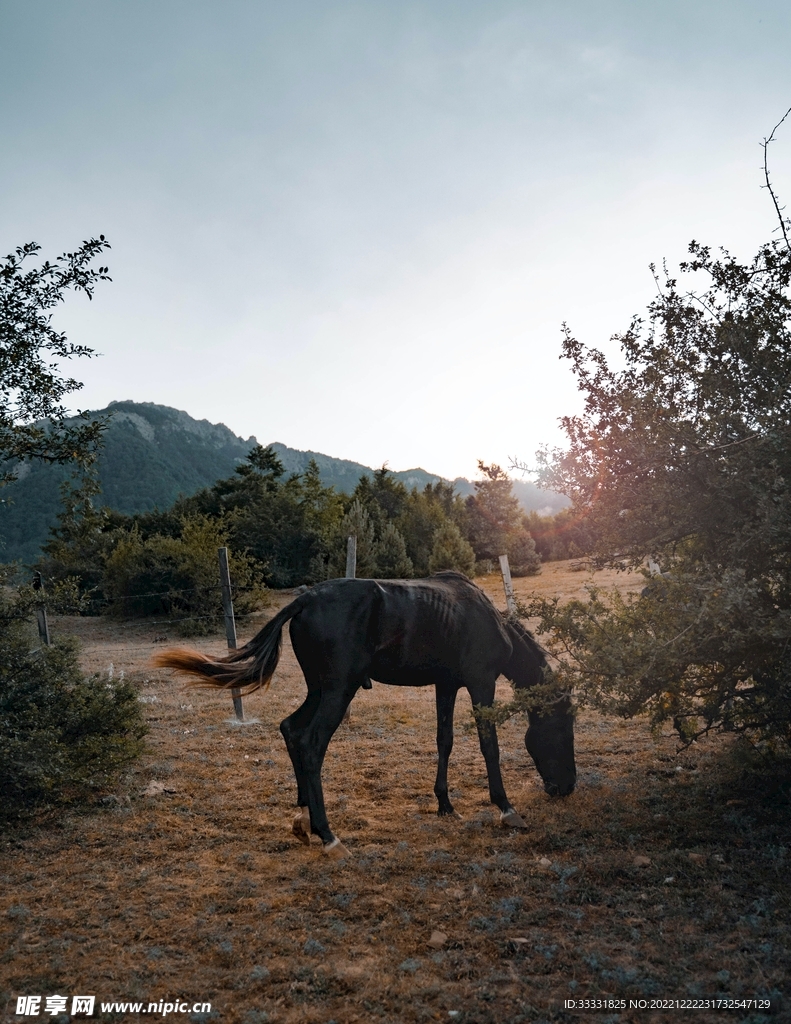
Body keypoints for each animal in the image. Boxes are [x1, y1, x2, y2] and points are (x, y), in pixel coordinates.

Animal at [154, 571, 576, 857]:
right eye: (564, 727)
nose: (567, 787)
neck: (485, 618)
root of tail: (304, 601)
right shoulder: (480, 683)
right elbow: (490, 746)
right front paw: (506, 808)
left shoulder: (446, 685)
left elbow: (445, 741)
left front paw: (445, 804)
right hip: (339, 690)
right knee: (310, 742)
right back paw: (329, 836)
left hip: (320, 689)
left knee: (290, 728)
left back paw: (304, 819)